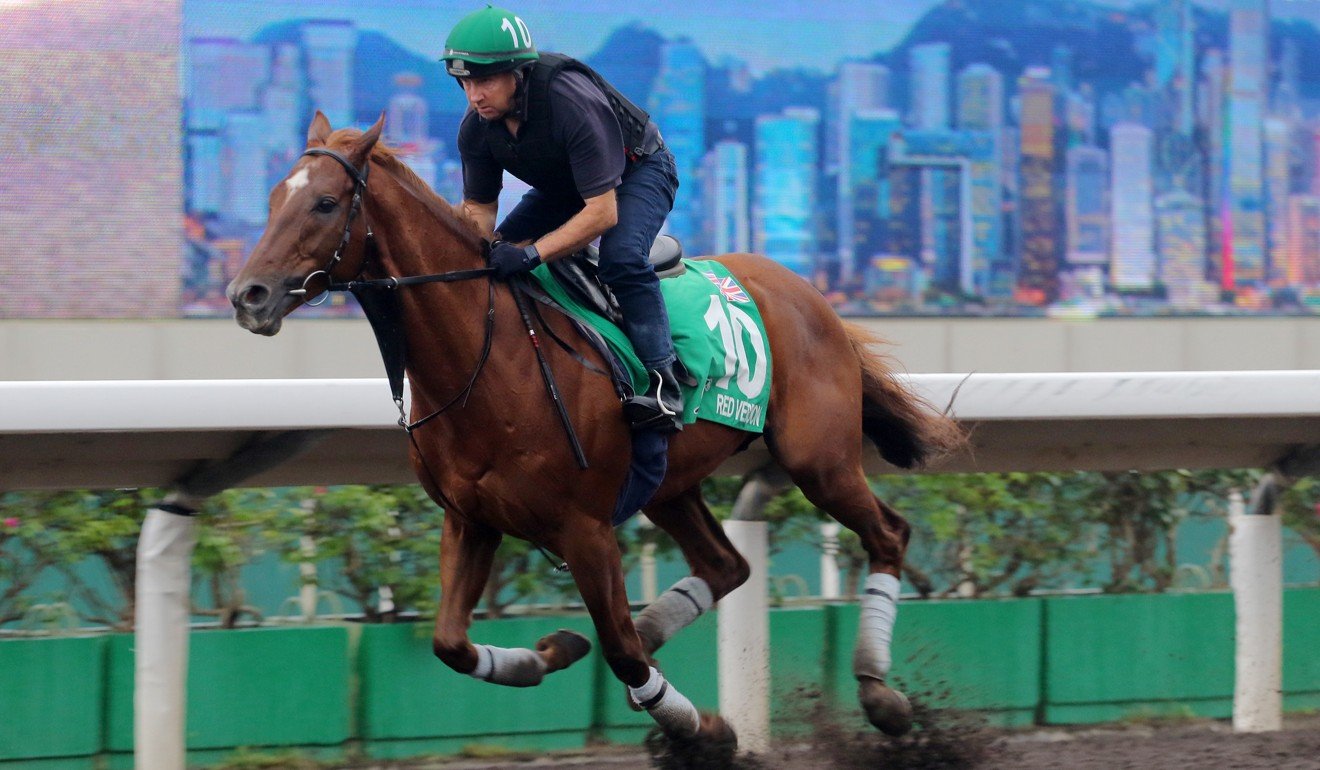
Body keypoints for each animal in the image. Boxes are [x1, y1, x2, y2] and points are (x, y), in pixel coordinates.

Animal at [232, 112, 966, 755]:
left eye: (325, 203)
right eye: (272, 198)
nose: (248, 295)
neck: (488, 359)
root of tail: (810, 294)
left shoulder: (583, 528)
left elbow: (619, 652)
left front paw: (702, 731)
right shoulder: (471, 520)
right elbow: (451, 644)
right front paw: (549, 655)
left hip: (819, 460)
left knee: (887, 535)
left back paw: (880, 694)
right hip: (669, 484)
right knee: (725, 567)